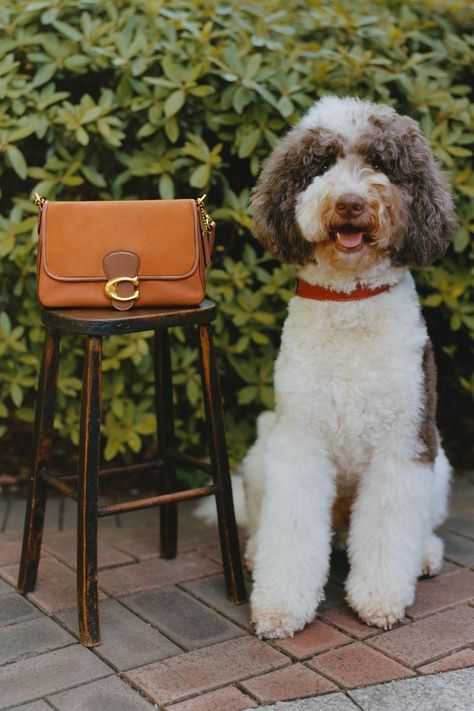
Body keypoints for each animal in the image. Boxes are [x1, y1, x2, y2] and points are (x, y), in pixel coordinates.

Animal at [241, 96, 456, 640]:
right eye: (321, 164)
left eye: (382, 164)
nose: (351, 203)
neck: (351, 300)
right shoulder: (298, 444)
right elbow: (291, 531)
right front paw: (280, 606)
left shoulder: (404, 445)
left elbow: (388, 529)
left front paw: (379, 598)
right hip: (259, 455)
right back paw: (253, 552)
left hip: (439, 462)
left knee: (417, 525)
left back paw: (425, 554)